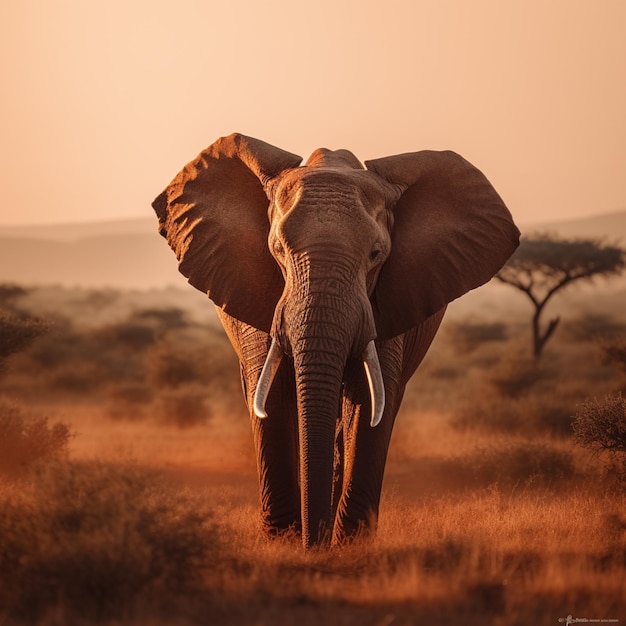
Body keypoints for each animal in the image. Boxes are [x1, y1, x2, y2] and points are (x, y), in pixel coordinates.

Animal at [151, 133, 516, 544]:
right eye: (277, 251)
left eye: (376, 254)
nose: (313, 544)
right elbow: (273, 391)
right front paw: (284, 541)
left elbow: (369, 398)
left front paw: (348, 545)